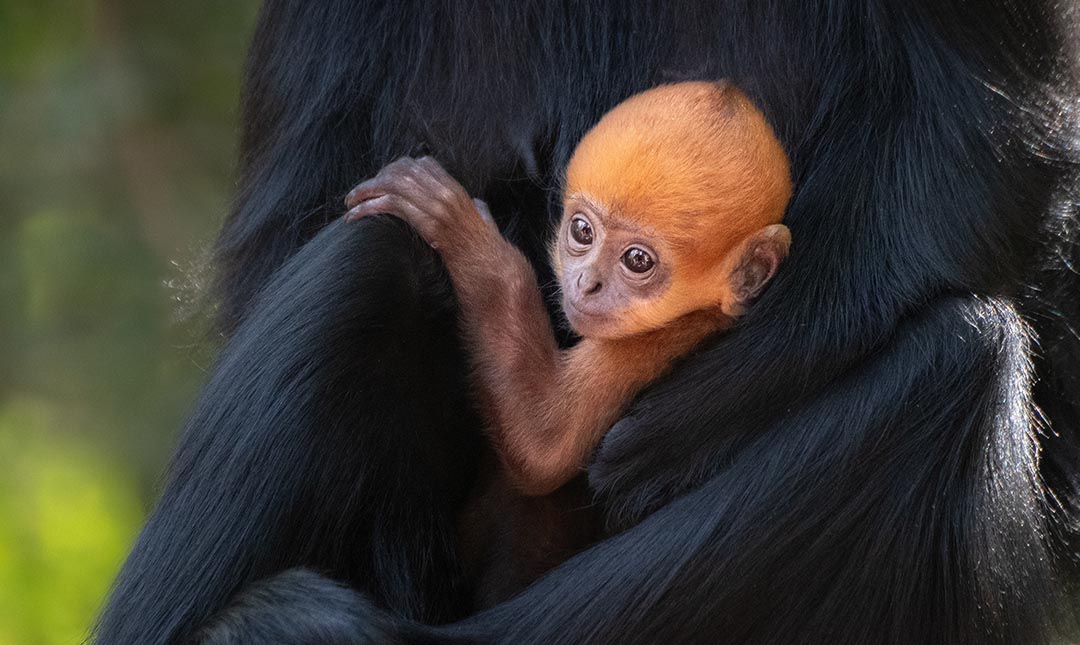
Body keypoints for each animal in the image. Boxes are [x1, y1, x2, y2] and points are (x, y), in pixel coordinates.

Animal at [343, 82, 793, 500]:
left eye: (637, 260)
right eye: (582, 232)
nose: (587, 283)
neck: (701, 314)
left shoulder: (648, 343)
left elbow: (542, 446)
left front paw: (464, 235)